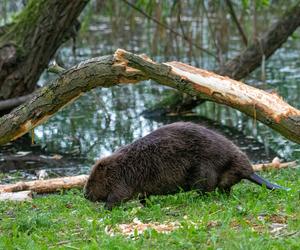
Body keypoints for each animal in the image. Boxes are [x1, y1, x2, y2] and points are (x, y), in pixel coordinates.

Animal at [83, 121, 288, 209]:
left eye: (92, 180)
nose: (85, 195)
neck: (121, 165)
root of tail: (248, 170)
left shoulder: (123, 180)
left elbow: (118, 196)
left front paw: (105, 208)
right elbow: (142, 195)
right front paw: (144, 203)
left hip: (204, 171)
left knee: (208, 190)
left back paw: (195, 198)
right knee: (224, 189)